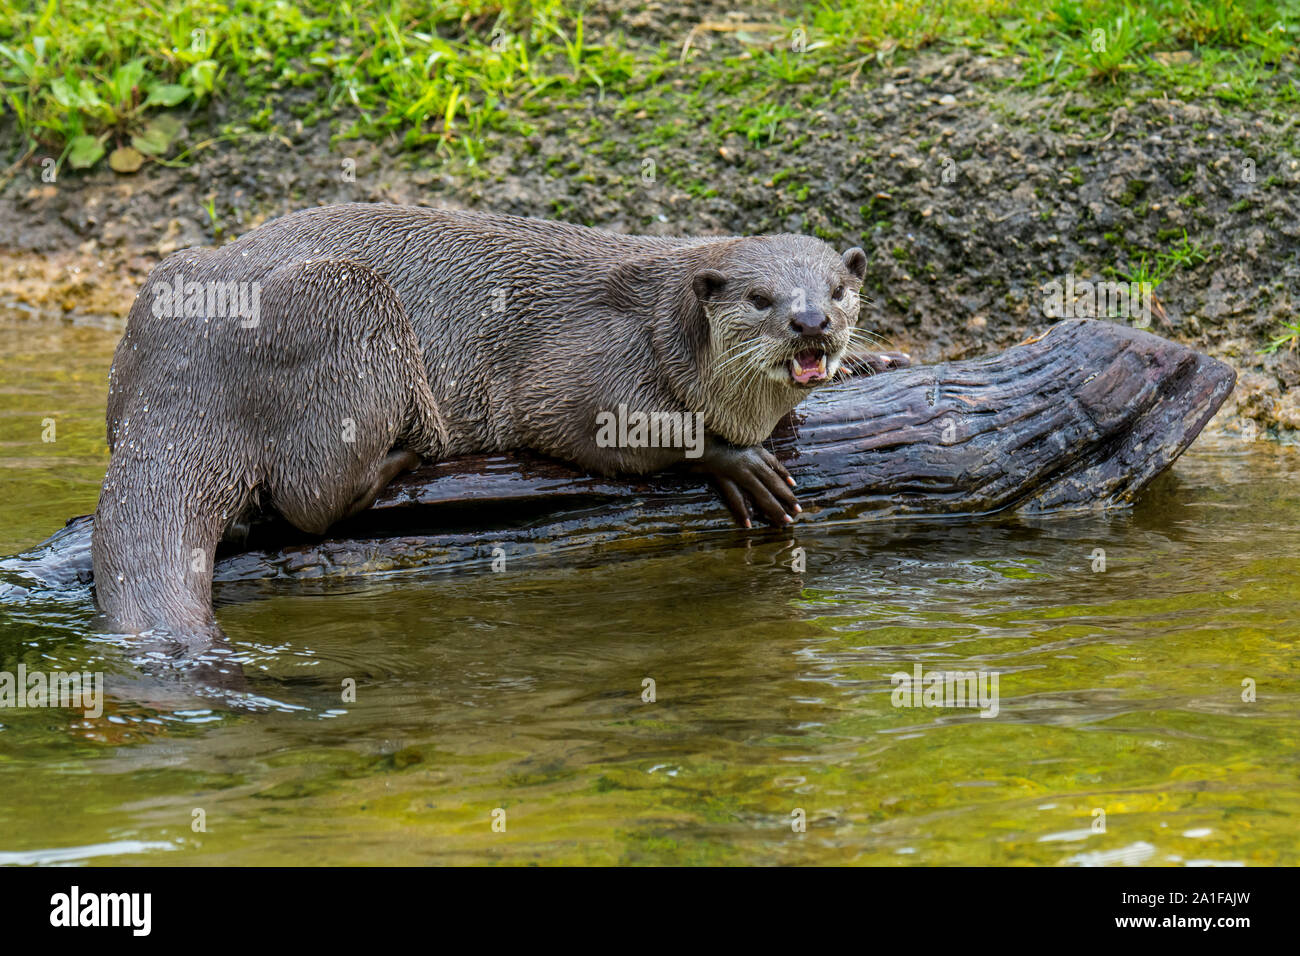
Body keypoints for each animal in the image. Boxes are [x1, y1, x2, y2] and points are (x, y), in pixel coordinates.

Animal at [94, 204, 882, 639]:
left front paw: (878, 359)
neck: (667, 324)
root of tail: (186, 366)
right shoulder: (581, 367)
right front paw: (734, 459)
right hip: (345, 300)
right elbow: (596, 426)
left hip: (164, 281)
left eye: (837, 291)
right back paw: (407, 457)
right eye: (760, 298)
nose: (811, 323)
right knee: (308, 501)